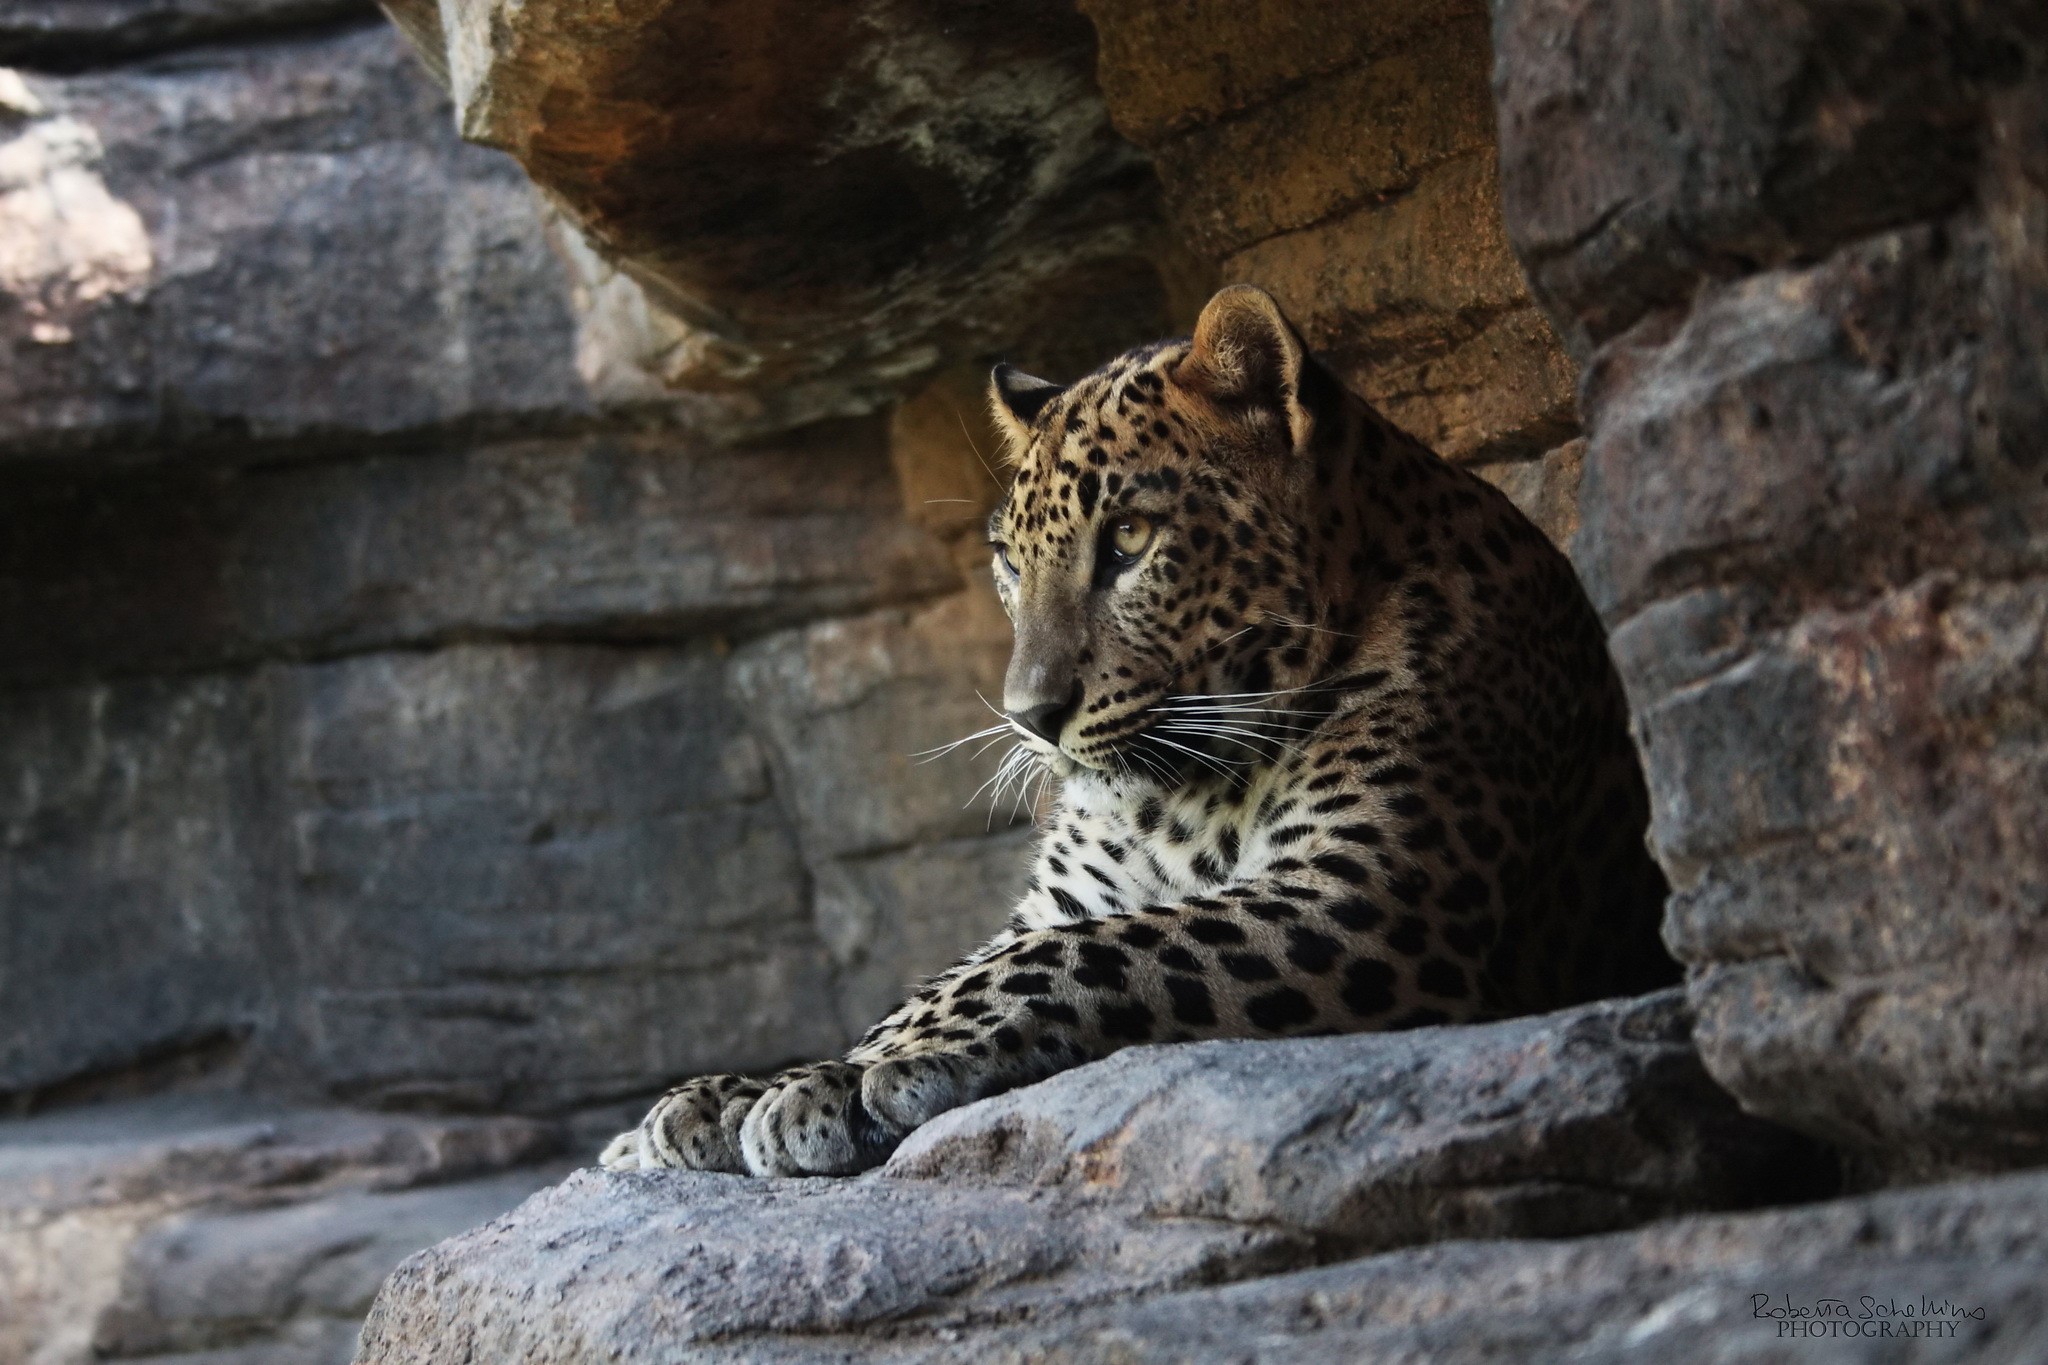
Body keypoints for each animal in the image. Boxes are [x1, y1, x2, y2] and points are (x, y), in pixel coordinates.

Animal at [601, 285, 1677, 1178]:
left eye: (1127, 540)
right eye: (1008, 559)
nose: (1030, 718)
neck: (1184, 796)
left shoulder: (1366, 895)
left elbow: (1078, 953)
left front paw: (851, 1077)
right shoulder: (1064, 898)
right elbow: (960, 968)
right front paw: (743, 1090)